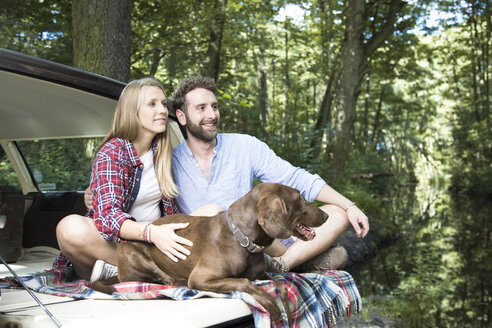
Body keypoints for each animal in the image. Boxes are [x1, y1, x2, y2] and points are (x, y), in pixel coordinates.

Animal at [92, 183, 330, 322]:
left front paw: (287, 309)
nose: (326, 215)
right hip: (132, 253)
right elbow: (244, 282)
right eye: (298, 198)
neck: (243, 240)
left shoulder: (262, 274)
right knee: (165, 279)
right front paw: (270, 305)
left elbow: (280, 284)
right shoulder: (202, 278)